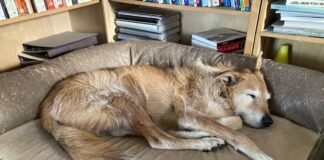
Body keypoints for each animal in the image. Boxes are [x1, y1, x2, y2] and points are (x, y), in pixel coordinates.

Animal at [40, 52, 274, 160]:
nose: (269, 121)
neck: (219, 89)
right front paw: (260, 154)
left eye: (268, 99)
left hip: (127, 117)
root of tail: (46, 108)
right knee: (160, 140)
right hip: (124, 99)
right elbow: (237, 130)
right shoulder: (188, 114)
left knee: (160, 132)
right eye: (251, 96)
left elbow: (233, 121)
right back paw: (203, 142)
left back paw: (204, 138)